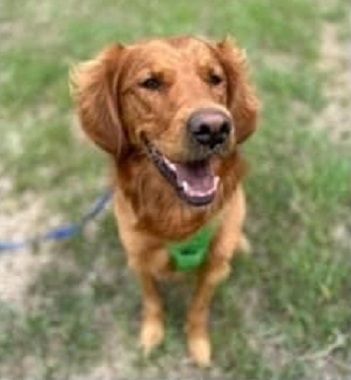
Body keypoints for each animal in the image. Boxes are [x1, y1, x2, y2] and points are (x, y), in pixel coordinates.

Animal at [70, 37, 260, 366]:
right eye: (151, 83)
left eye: (215, 78)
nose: (214, 128)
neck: (177, 214)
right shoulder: (138, 260)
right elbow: (152, 300)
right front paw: (152, 334)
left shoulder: (214, 269)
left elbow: (198, 309)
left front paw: (198, 344)